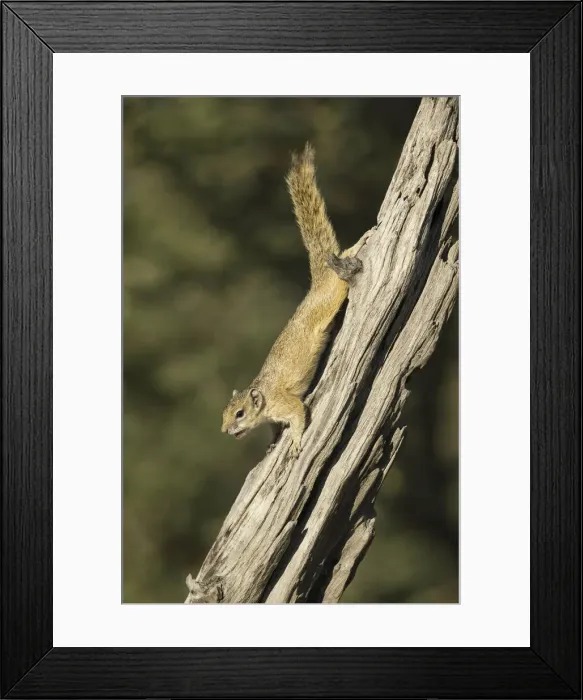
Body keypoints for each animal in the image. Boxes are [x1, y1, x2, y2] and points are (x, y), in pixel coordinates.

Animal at [221, 143, 364, 458]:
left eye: (240, 413)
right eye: (223, 413)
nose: (224, 431)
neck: (264, 397)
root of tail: (319, 281)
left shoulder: (285, 402)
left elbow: (298, 415)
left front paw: (296, 442)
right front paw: (273, 441)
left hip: (332, 298)